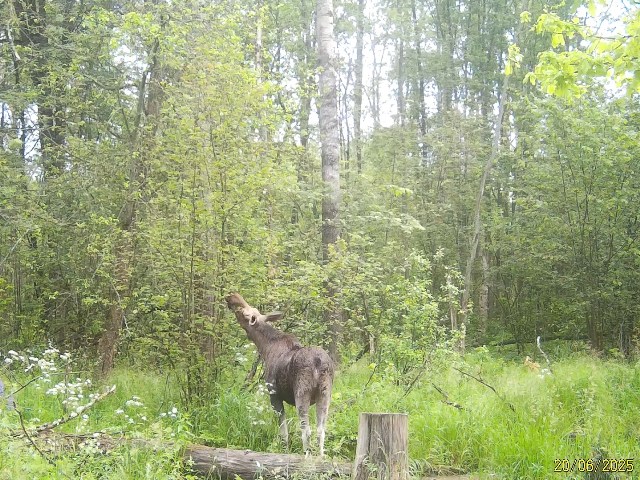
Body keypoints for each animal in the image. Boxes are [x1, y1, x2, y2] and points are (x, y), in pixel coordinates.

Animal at [226, 293, 334, 456]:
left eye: (244, 313)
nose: (230, 298)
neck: (265, 347)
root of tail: (318, 362)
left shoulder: (274, 393)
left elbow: (283, 432)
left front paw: (285, 451)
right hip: (325, 393)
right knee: (321, 431)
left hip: (302, 392)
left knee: (306, 430)